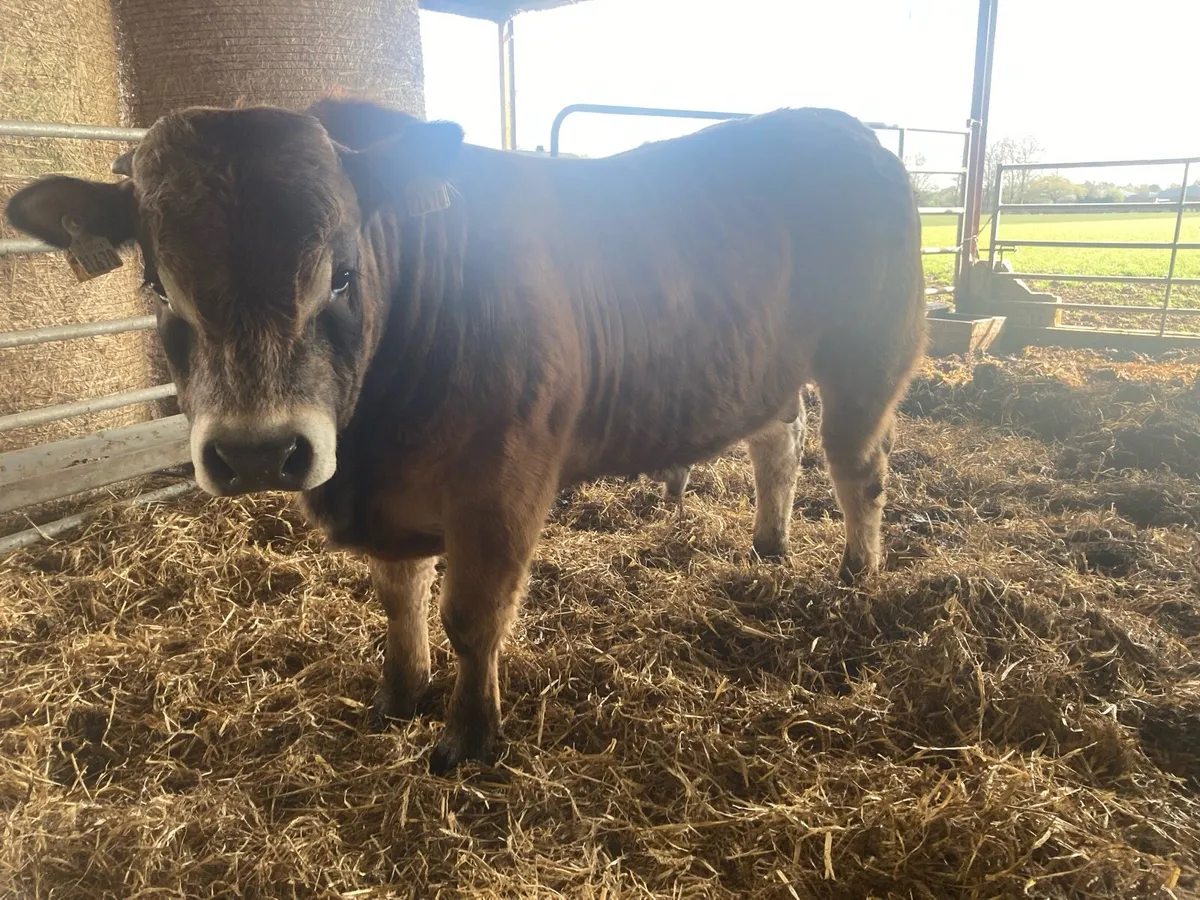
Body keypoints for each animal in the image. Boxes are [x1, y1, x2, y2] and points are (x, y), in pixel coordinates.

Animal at [5, 98, 925, 773]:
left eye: (342, 274)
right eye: (159, 286)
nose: (260, 452)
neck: (372, 443)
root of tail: (844, 129)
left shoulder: (501, 488)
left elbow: (471, 616)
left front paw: (470, 737)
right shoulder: (391, 507)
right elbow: (399, 597)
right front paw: (399, 694)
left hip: (869, 360)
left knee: (860, 467)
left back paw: (855, 572)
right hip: (766, 371)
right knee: (780, 444)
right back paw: (768, 546)